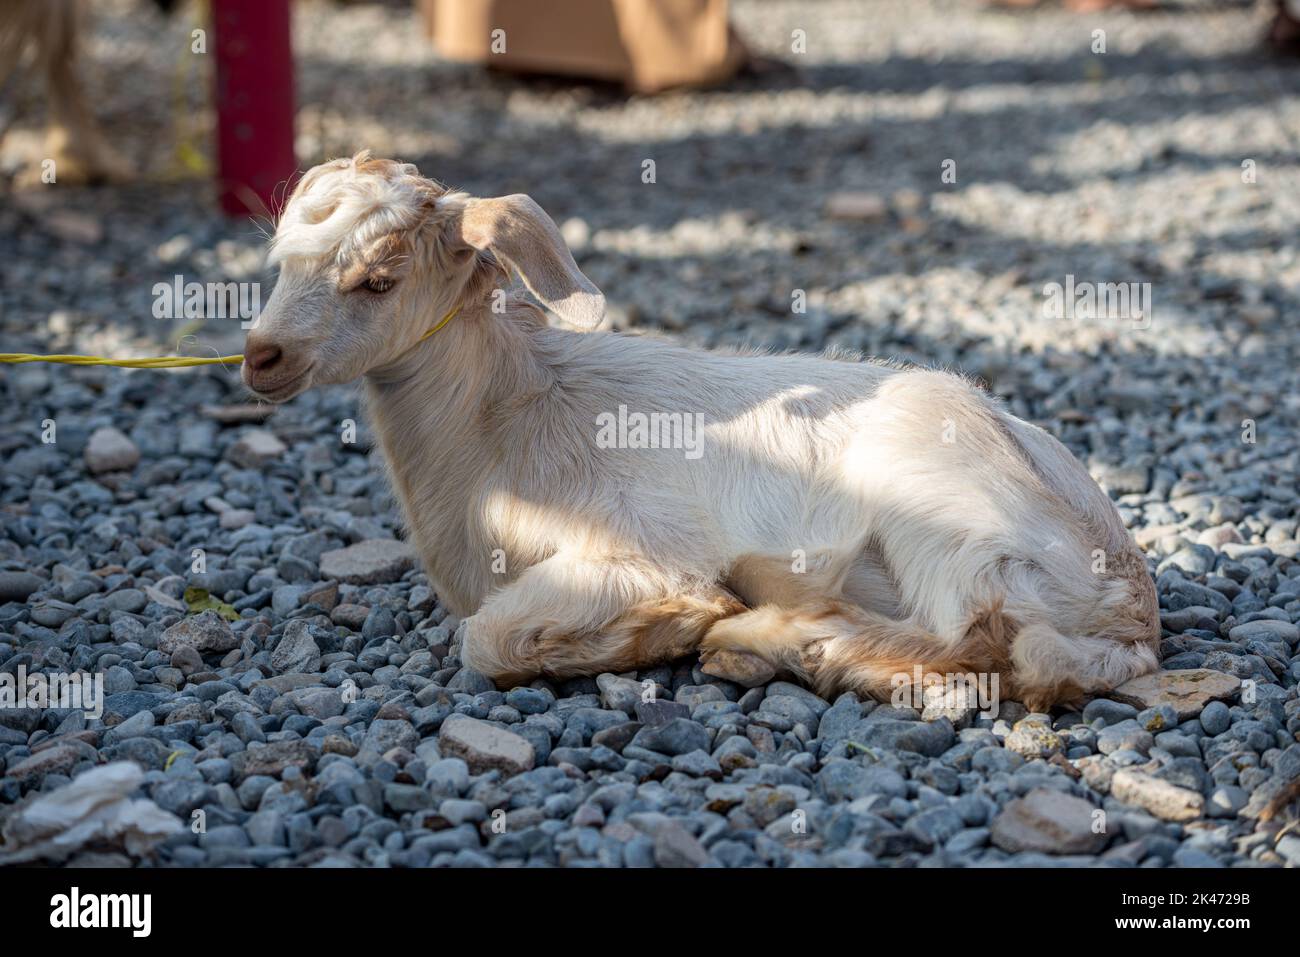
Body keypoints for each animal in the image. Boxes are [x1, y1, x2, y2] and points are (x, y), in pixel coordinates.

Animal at [244, 153, 1159, 712]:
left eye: (378, 278)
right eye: (280, 260)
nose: (261, 357)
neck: (506, 421)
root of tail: (1129, 615)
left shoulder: (638, 548)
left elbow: (489, 637)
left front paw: (680, 620)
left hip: (941, 522)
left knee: (981, 641)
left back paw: (770, 638)